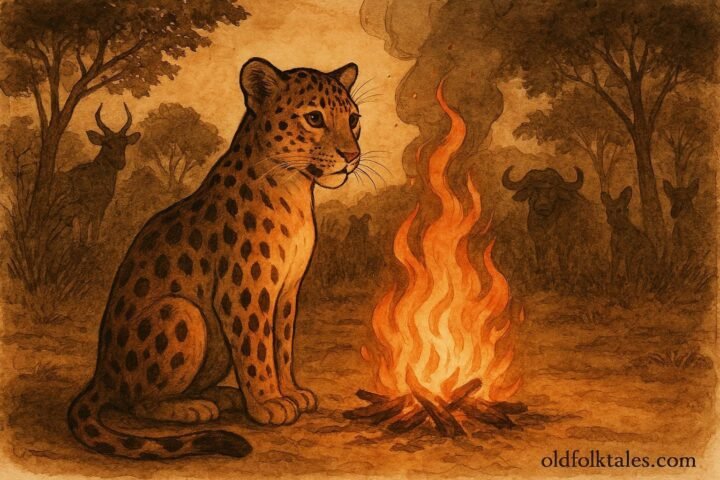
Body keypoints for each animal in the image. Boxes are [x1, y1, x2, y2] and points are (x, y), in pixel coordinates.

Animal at [67, 57, 362, 459]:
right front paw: (269, 402)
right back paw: (193, 407)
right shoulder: (244, 292)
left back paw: (223, 396)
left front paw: (290, 391)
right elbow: (257, 348)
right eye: (314, 118)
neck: (296, 188)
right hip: (182, 312)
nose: (352, 156)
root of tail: (101, 372)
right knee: (136, 401)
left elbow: (282, 344)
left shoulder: (288, 291)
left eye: (353, 119)